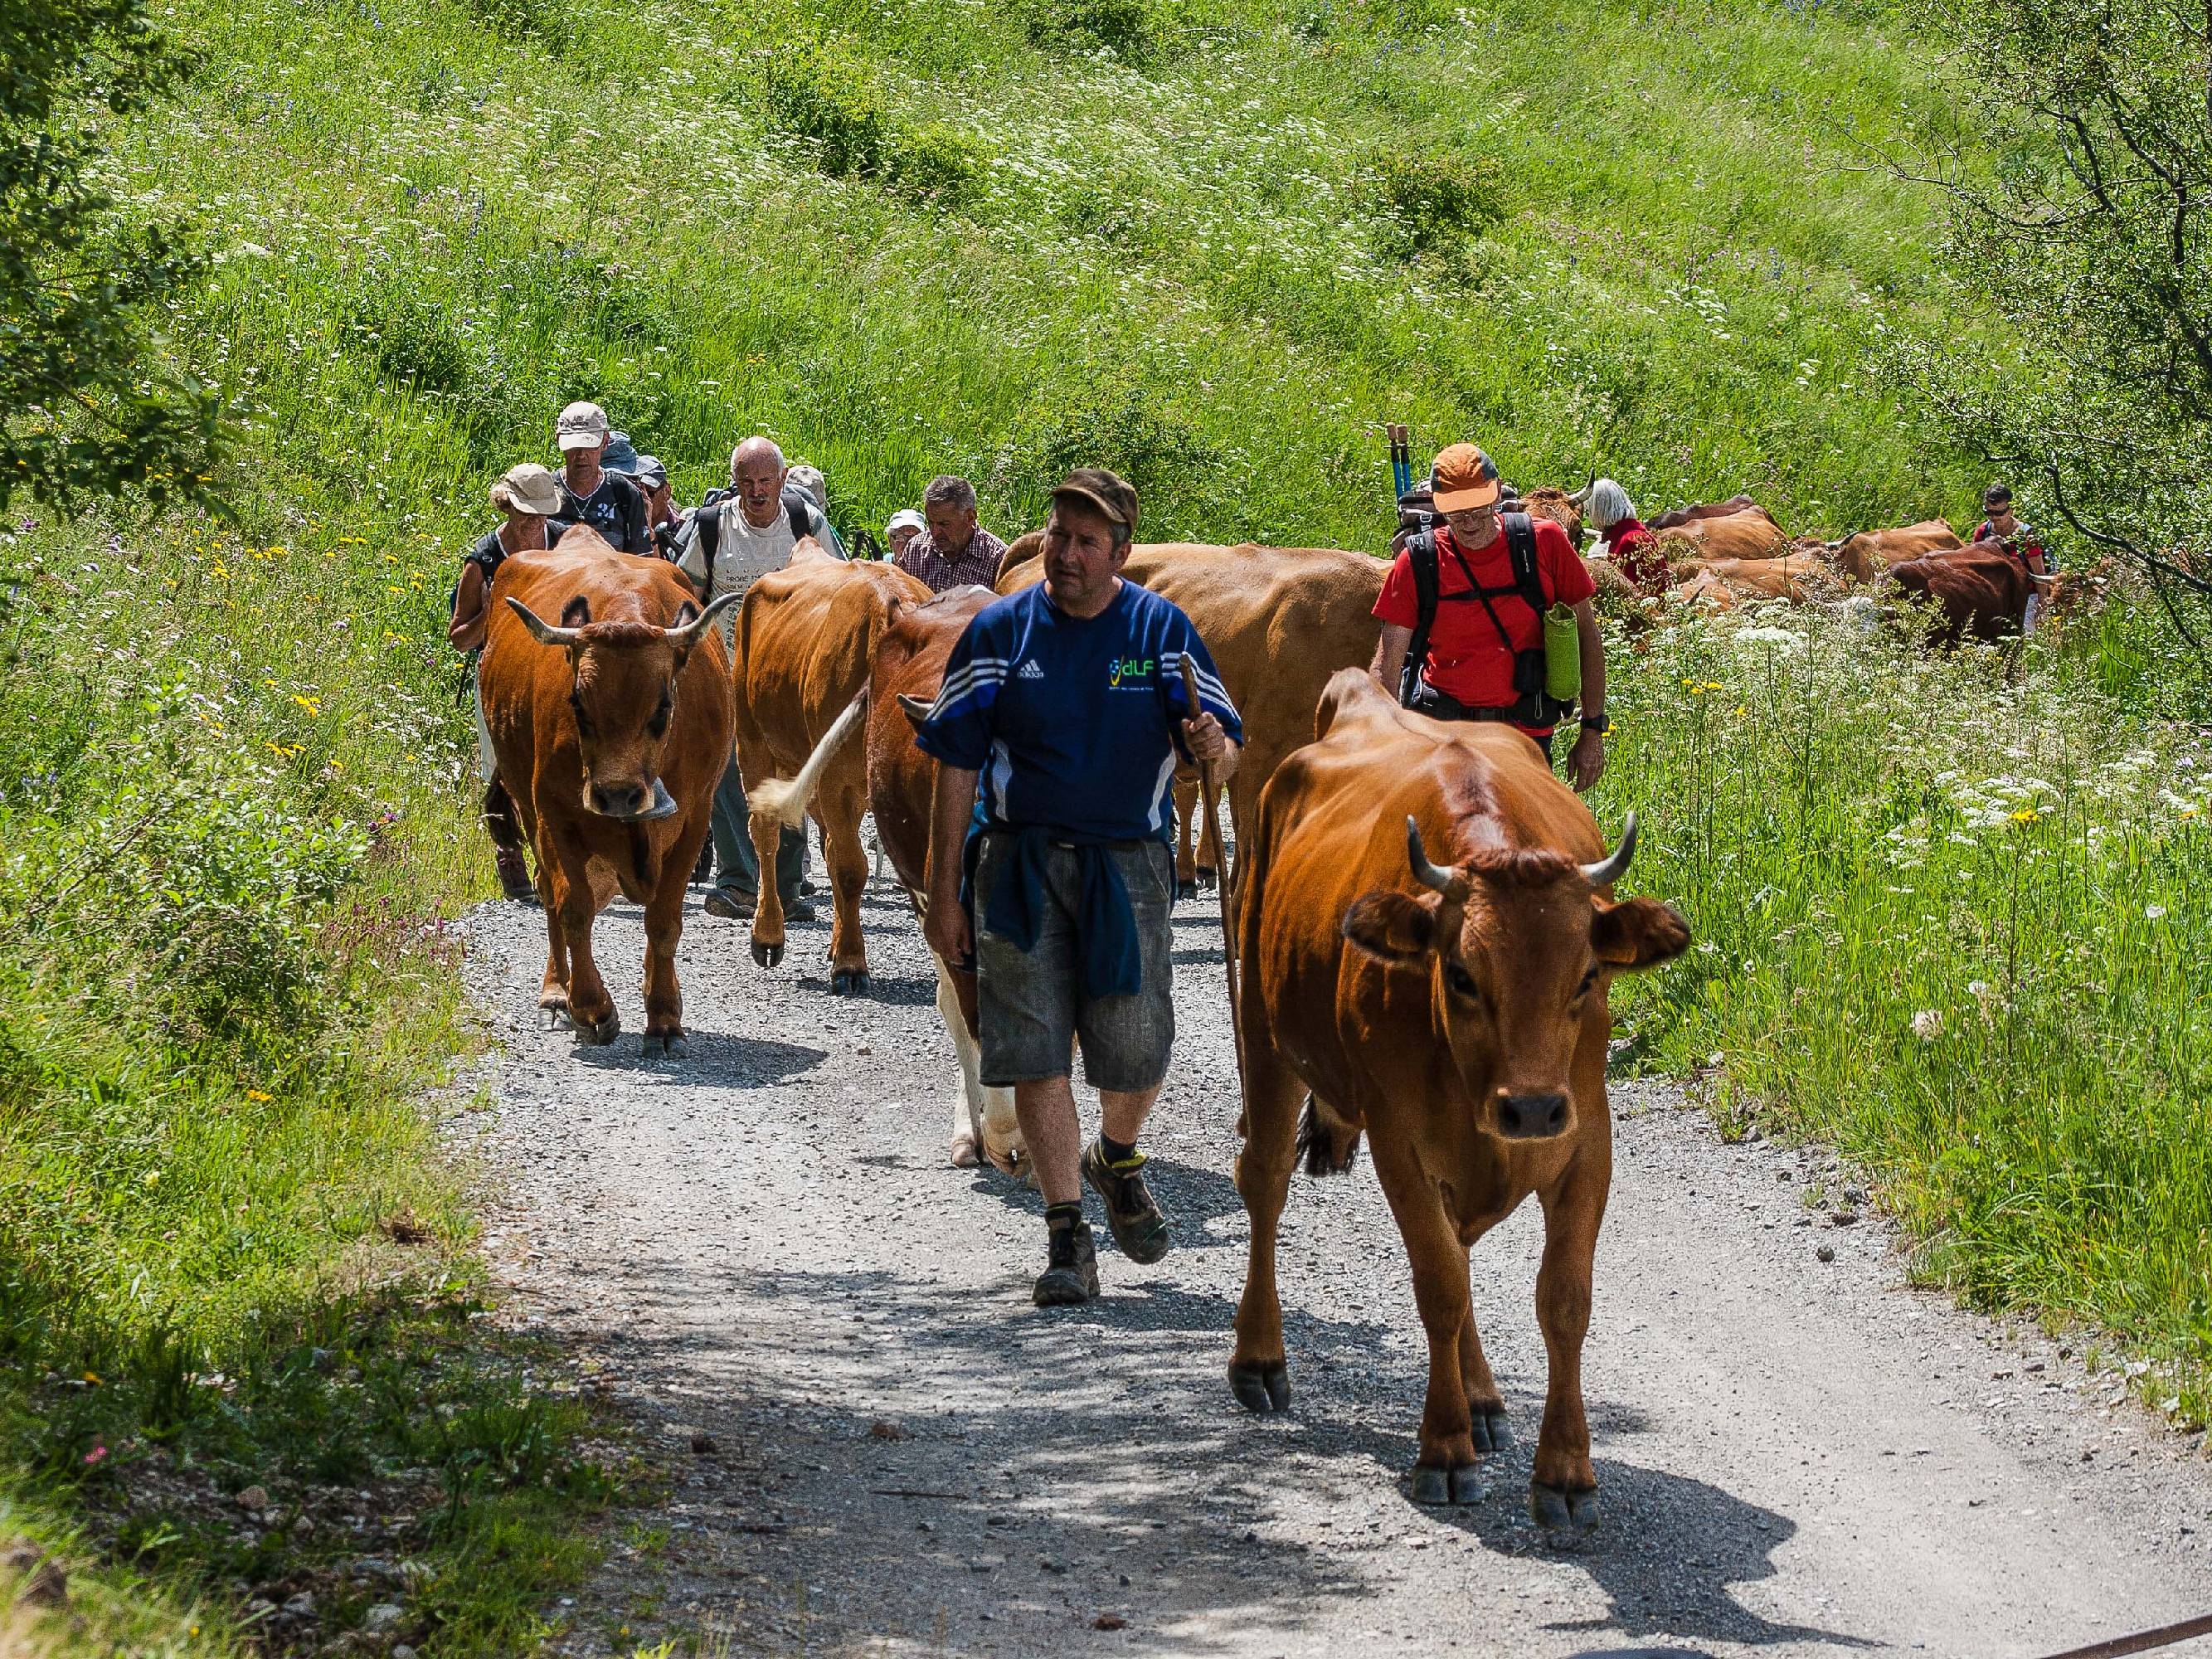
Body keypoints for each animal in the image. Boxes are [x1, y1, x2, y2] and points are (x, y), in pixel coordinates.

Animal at [482, 526, 738, 1057]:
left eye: (664, 707)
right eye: (577, 703)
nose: (617, 795)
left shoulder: (693, 824)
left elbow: (664, 922)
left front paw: (664, 1017)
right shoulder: (555, 816)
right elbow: (573, 908)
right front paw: (592, 1008)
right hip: (527, 806)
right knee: (550, 895)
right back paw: (556, 994)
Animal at [734, 546, 924, 995]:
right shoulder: (836, 781)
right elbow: (850, 868)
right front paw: (851, 963)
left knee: (826, 844)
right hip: (752, 743)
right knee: (766, 835)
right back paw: (768, 934)